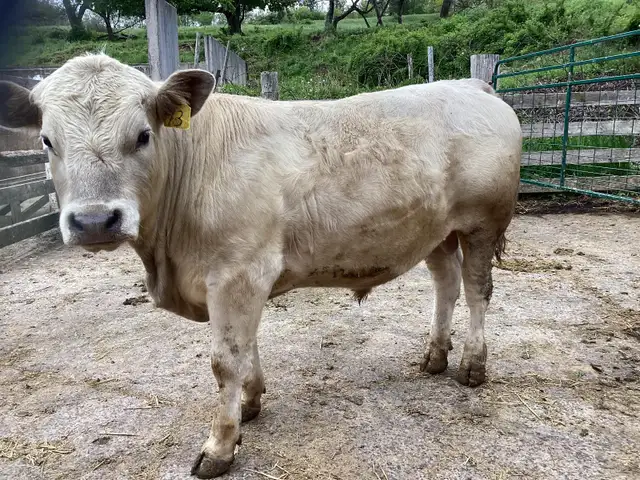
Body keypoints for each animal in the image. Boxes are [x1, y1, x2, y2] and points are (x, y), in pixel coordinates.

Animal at [0, 53, 522, 478]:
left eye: (143, 135)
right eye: (46, 141)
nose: (94, 221)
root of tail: (470, 84)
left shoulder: (238, 274)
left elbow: (225, 360)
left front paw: (220, 446)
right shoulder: (237, 280)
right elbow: (246, 347)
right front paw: (251, 402)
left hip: (481, 223)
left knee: (476, 289)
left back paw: (471, 364)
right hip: (436, 230)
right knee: (446, 284)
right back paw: (435, 355)